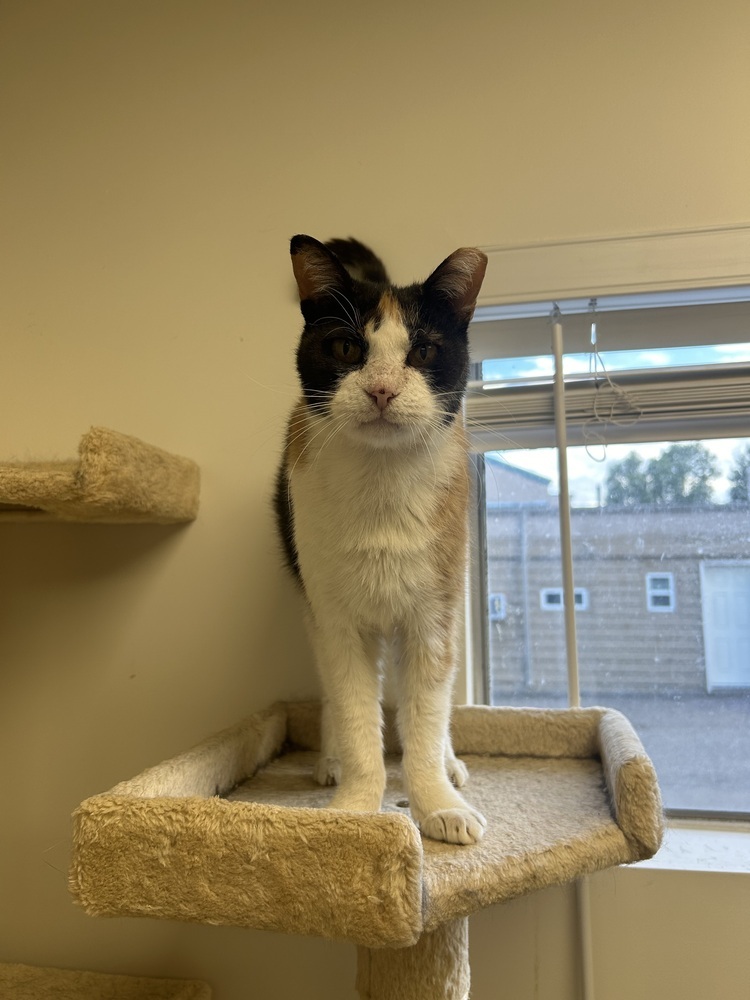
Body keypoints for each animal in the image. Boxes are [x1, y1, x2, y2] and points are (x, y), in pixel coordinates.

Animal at [274, 234, 488, 844]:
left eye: (423, 353)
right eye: (347, 347)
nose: (382, 389)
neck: (382, 488)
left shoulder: (434, 617)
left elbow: (426, 713)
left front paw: (437, 803)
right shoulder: (336, 617)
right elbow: (355, 712)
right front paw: (353, 810)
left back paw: (450, 763)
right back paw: (331, 759)